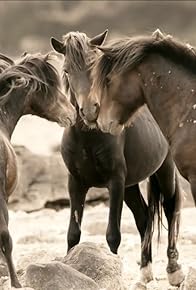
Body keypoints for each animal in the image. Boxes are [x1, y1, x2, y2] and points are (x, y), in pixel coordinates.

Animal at [50, 31, 184, 286]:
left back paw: (174, 272)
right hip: (131, 186)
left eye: (94, 67)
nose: (90, 111)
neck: (88, 138)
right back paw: (145, 272)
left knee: (170, 209)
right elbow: (73, 233)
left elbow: (112, 234)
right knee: (144, 217)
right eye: (66, 70)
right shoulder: (76, 184)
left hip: (164, 172)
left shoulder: (115, 182)